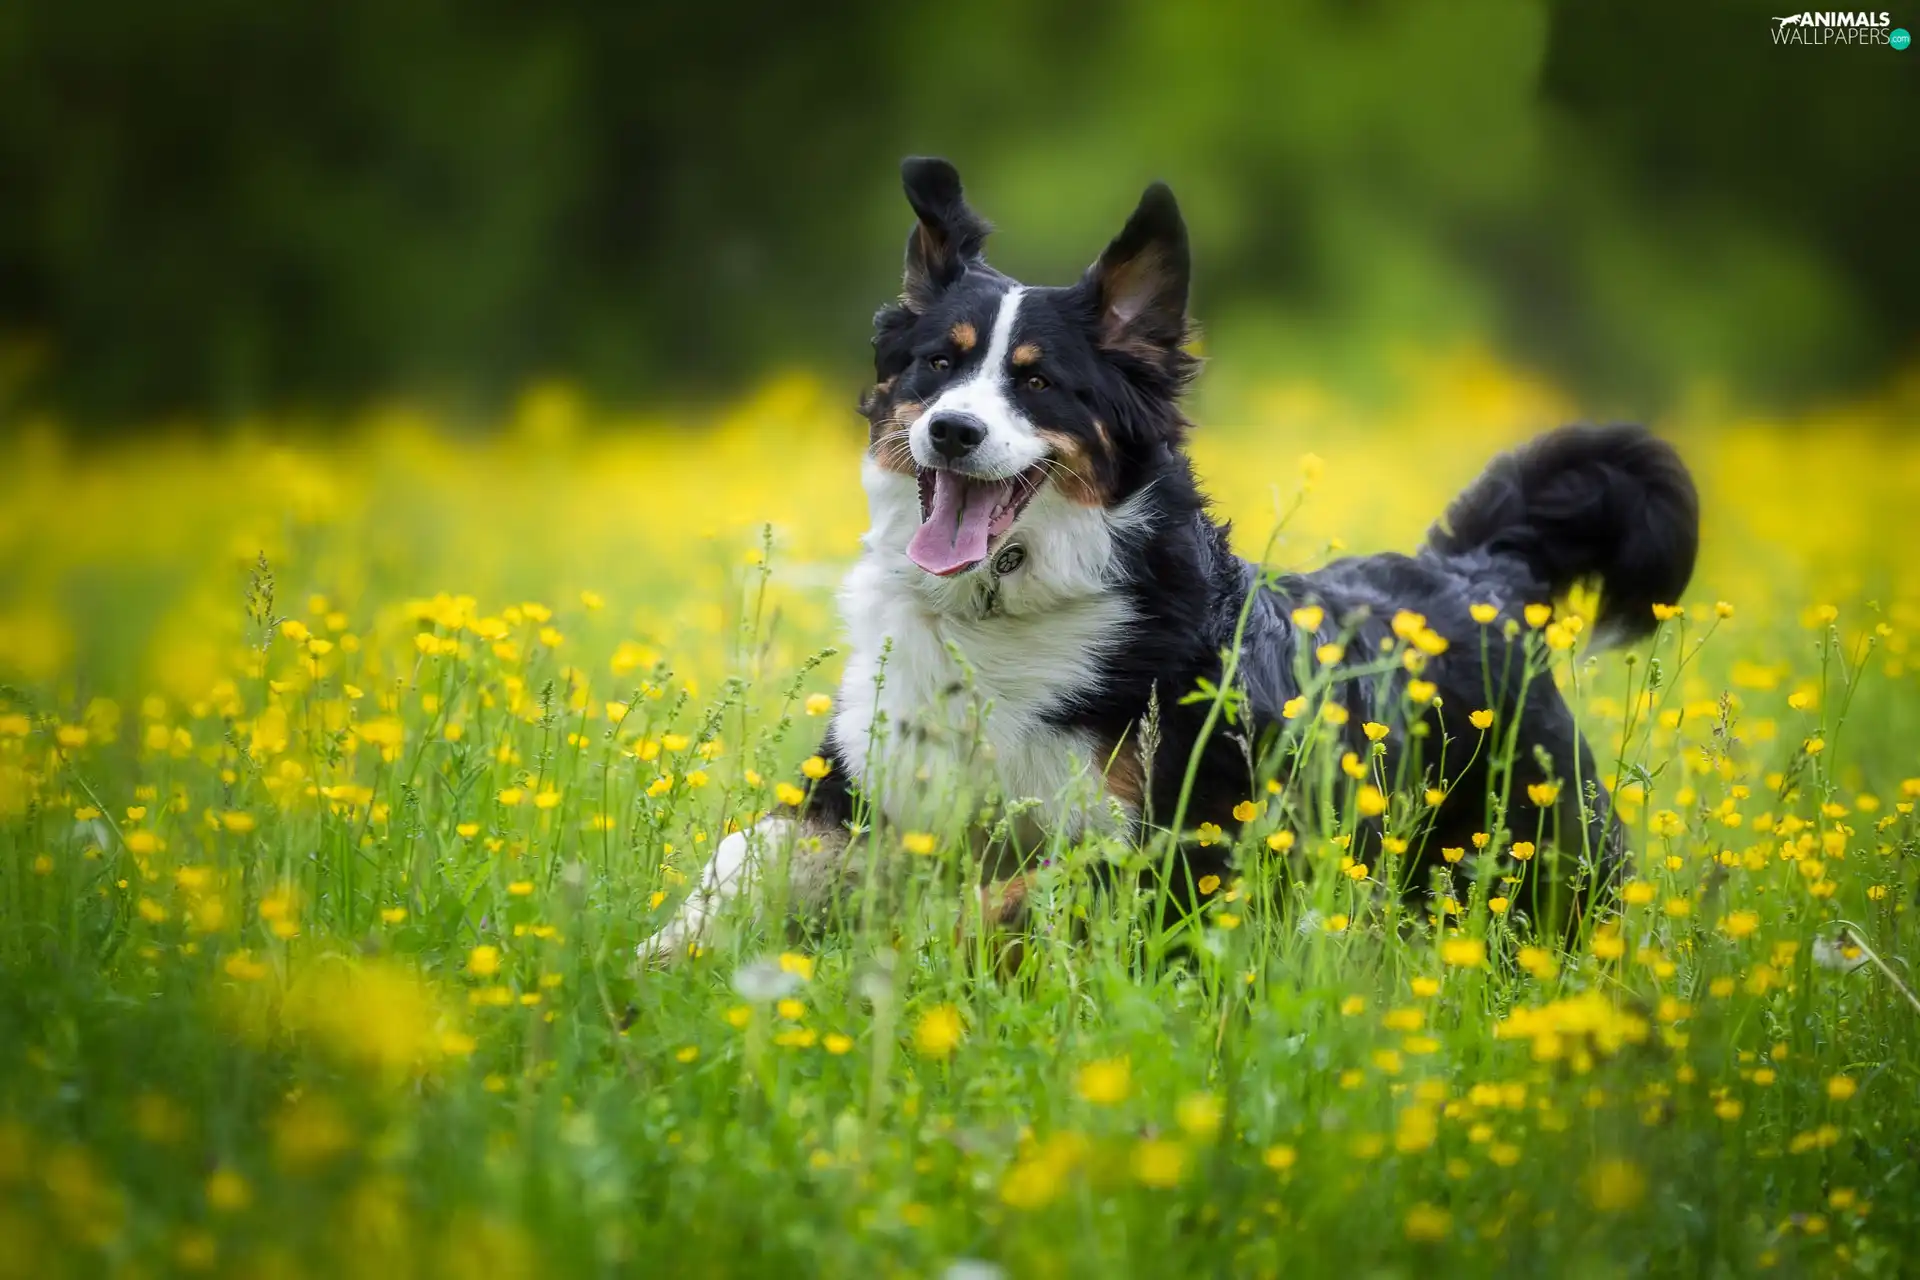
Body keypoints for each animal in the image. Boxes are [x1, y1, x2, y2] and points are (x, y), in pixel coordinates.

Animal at [645, 157, 1697, 959]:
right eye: (937, 366)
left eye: (1038, 383)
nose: (951, 431)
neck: (1003, 614)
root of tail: (1479, 572)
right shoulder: (865, 786)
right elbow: (746, 854)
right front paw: (663, 959)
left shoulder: (1179, 841)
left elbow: (1010, 896)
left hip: (1544, 855)